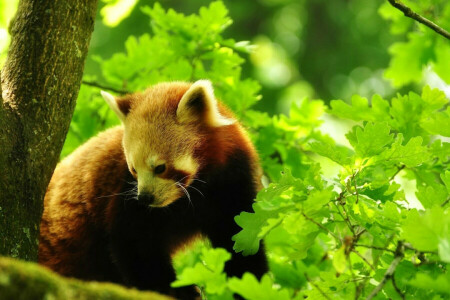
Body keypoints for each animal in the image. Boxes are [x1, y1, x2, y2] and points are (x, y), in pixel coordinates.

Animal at [38, 81, 268, 298]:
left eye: (160, 167)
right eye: (134, 169)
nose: (145, 198)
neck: (195, 189)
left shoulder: (232, 180)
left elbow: (239, 237)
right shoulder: (122, 190)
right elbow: (135, 245)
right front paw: (173, 290)